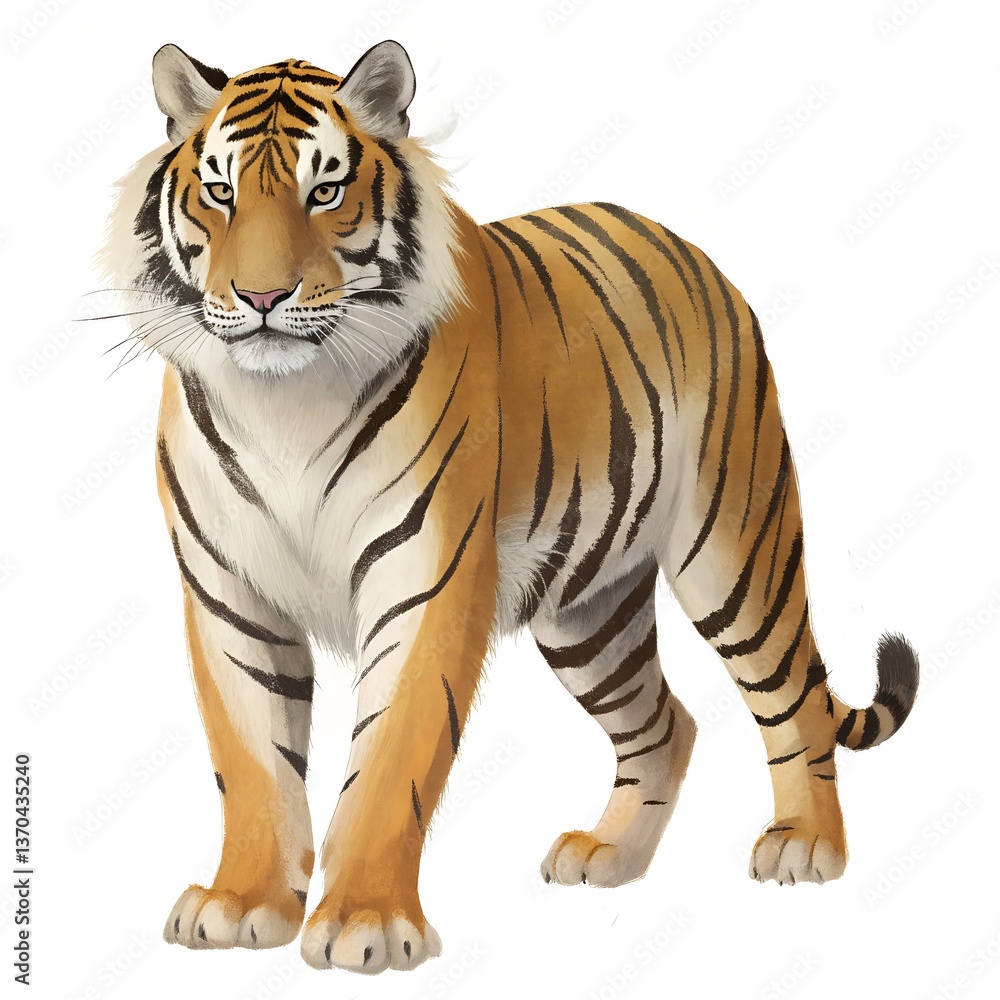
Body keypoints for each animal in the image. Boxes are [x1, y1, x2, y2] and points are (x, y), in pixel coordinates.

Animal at [101, 40, 919, 974]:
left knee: (795, 701)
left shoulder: (426, 580)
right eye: (221, 191)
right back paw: (610, 857)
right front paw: (242, 905)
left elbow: (391, 756)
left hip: (735, 550)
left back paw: (806, 846)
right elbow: (252, 764)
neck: (284, 401)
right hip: (590, 611)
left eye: (325, 191)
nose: (263, 298)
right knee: (665, 724)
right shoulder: (230, 593)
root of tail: (683, 243)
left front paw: (364, 924)